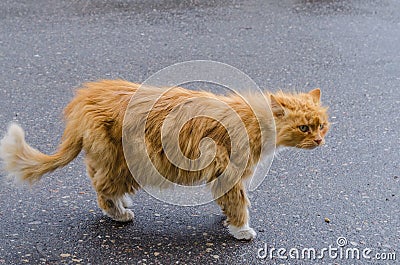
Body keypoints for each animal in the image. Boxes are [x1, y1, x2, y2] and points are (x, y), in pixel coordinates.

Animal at [0, 79, 330, 239]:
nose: (319, 141)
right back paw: (119, 213)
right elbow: (239, 203)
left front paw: (226, 219)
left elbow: (230, 201)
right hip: (127, 163)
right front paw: (241, 230)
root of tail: (83, 99)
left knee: (98, 177)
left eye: (321, 125)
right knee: (101, 189)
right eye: (304, 127)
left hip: (114, 160)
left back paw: (122, 203)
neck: (254, 120)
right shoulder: (228, 171)